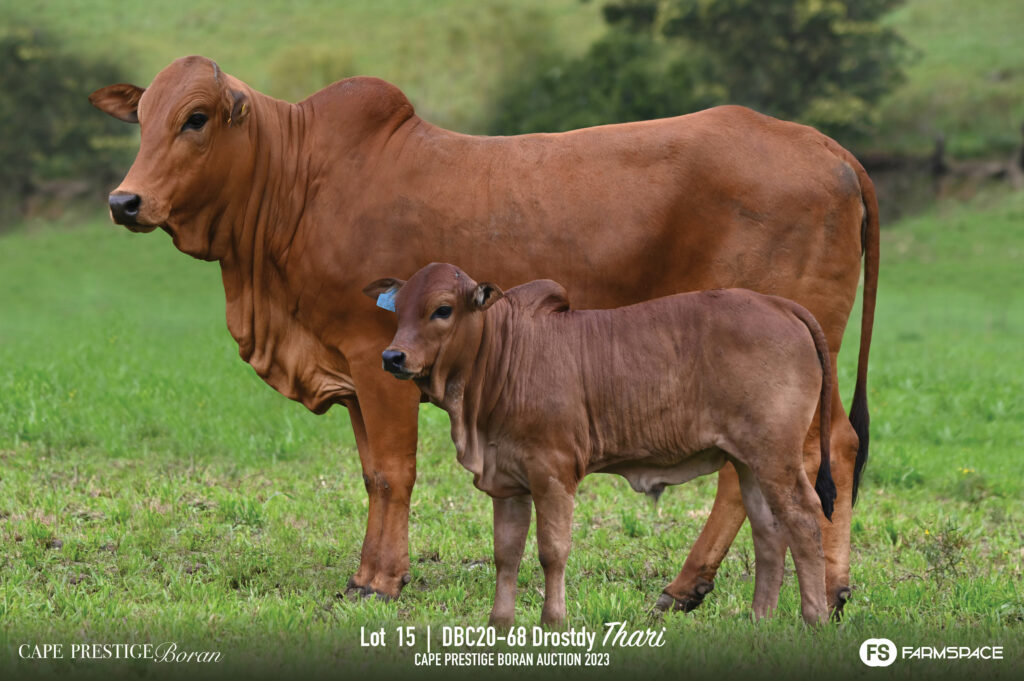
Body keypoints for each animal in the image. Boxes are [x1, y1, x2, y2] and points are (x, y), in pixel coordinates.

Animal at [366, 262, 837, 625]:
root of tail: (779, 304)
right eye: (399, 311)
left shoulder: (553, 474)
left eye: (442, 310)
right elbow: (506, 554)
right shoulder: (509, 482)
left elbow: (552, 552)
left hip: (777, 457)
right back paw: (760, 619)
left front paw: (553, 620)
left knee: (804, 519)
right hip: (748, 462)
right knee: (768, 528)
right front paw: (500, 623)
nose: (392, 357)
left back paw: (814, 617)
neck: (500, 359)